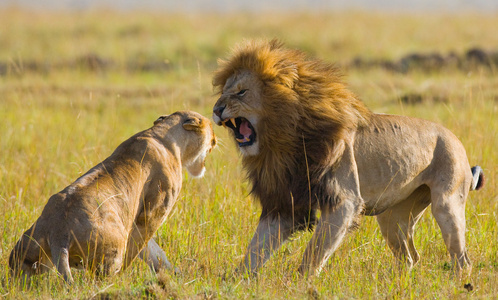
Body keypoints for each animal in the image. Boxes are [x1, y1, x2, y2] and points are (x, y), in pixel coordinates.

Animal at [9, 110, 216, 284]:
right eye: (211, 131)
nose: (215, 141)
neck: (162, 135)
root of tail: (59, 234)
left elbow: (153, 251)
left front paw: (175, 274)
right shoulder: (151, 214)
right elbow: (140, 247)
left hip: (24, 250)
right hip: (112, 250)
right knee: (101, 277)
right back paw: (114, 282)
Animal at [212, 39, 484, 276]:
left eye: (241, 92)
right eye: (223, 92)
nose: (216, 110)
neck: (284, 140)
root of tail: (456, 140)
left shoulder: (343, 201)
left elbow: (314, 253)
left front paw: (299, 283)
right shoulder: (284, 201)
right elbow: (256, 248)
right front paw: (237, 280)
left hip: (446, 203)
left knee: (462, 259)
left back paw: (458, 281)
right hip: (392, 217)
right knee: (411, 257)